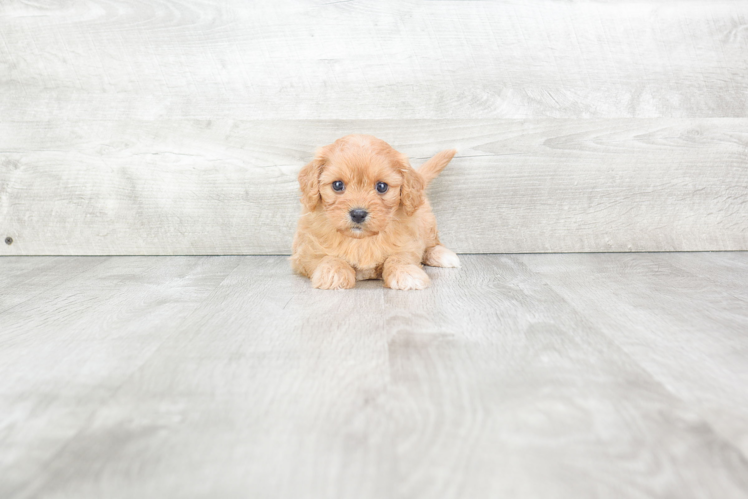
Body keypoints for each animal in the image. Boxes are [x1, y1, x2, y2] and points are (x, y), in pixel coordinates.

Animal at [290, 134, 458, 290]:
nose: (358, 214)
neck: (361, 239)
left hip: (426, 220)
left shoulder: (409, 243)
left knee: (432, 243)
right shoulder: (304, 252)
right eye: (337, 185)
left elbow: (399, 256)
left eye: (382, 186)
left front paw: (406, 273)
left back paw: (443, 255)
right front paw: (334, 273)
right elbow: (326, 257)